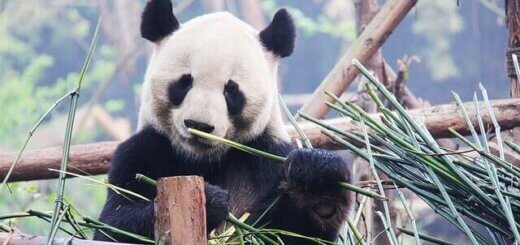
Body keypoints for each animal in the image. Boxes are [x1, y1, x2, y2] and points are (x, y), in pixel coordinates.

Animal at [95, 0, 352, 244]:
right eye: (185, 82)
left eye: (231, 90)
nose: (199, 125)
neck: (203, 160)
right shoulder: (142, 150)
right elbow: (113, 225)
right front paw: (211, 201)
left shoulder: (267, 157)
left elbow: (293, 234)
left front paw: (318, 181)